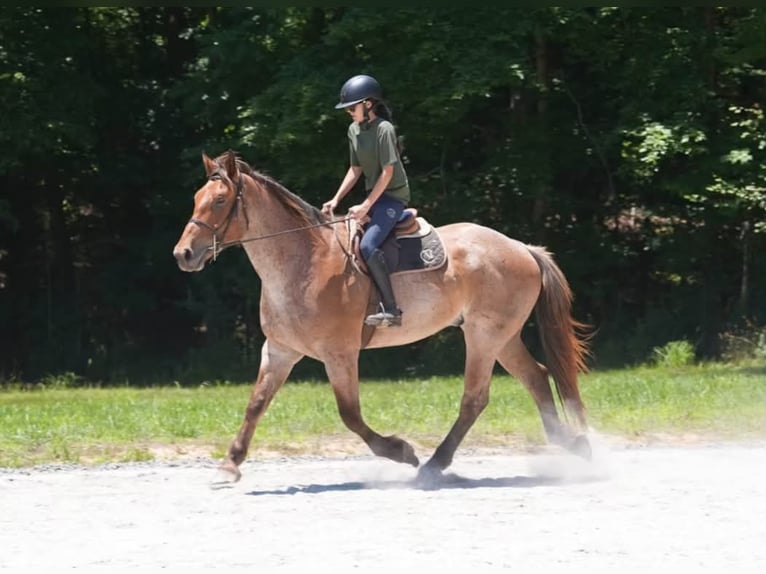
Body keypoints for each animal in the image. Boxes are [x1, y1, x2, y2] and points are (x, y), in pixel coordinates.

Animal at [173, 150, 592, 483]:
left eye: (220, 200)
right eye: (196, 198)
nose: (183, 254)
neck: (303, 262)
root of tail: (522, 247)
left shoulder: (339, 354)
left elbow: (350, 415)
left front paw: (401, 451)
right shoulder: (279, 350)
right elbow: (256, 403)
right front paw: (229, 464)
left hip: (484, 337)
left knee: (476, 398)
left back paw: (434, 464)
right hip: (502, 338)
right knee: (536, 378)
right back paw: (567, 444)